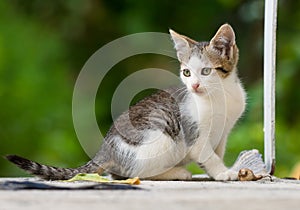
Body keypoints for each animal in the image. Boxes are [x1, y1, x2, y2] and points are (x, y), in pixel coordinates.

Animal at [5, 23, 246, 180]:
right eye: (186, 73)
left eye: (206, 71)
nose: (194, 86)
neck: (221, 96)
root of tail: (105, 149)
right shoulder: (194, 134)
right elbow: (208, 155)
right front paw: (224, 172)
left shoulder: (223, 133)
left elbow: (217, 153)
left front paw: (220, 171)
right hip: (162, 136)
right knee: (134, 173)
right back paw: (177, 172)